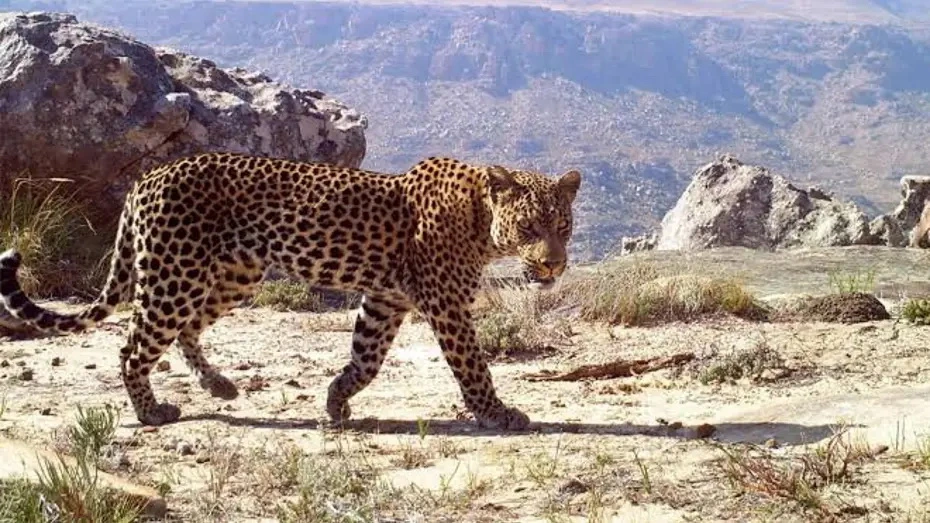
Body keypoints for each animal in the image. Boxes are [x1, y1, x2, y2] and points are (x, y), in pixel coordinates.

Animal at [0, 152, 581, 430]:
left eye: (563, 225)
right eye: (529, 226)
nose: (554, 262)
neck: (481, 219)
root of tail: (148, 176)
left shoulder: (386, 298)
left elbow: (366, 357)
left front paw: (336, 401)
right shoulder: (446, 304)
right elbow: (474, 367)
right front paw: (498, 414)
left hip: (232, 277)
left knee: (186, 330)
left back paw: (219, 386)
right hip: (175, 275)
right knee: (133, 347)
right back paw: (152, 411)